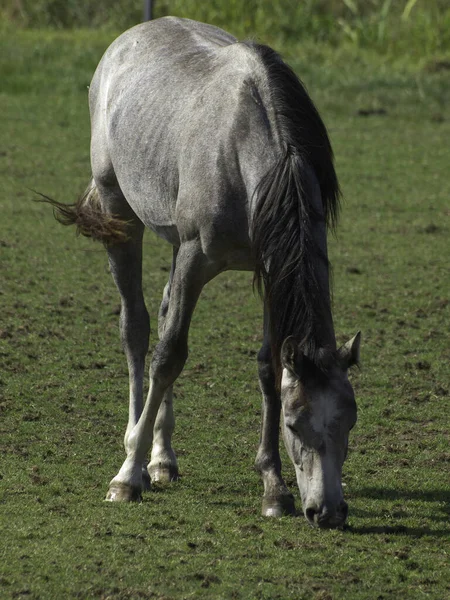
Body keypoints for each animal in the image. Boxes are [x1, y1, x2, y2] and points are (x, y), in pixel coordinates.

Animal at [44, 16, 362, 528]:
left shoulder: (269, 269)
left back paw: (162, 458)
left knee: (162, 311)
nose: (328, 511)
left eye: (350, 419)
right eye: (295, 424)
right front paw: (126, 477)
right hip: (121, 216)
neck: (248, 155)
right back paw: (136, 449)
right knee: (137, 328)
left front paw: (273, 486)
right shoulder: (197, 257)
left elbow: (267, 365)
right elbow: (169, 355)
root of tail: (128, 38)